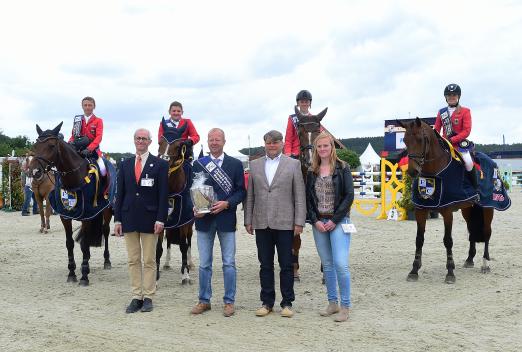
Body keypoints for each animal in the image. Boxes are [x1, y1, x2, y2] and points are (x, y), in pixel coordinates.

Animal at [33, 123, 114, 286]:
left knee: (105, 231)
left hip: (107, 210)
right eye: (36, 145)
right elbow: (70, 243)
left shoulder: (87, 215)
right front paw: (72, 273)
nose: (35, 171)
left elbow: (84, 244)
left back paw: (106, 261)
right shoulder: (65, 215)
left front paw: (84, 275)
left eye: (51, 146)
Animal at [156, 131, 195, 284]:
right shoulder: (161, 222)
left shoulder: (184, 222)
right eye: (160, 142)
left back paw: (190, 264)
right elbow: (159, 248)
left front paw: (185, 275)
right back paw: (166, 264)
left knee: (188, 243)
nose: (164, 162)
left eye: (179, 146)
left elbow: (184, 246)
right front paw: (156, 278)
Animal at [396, 118, 506, 284]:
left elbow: (448, 240)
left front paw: (450, 272)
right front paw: (414, 270)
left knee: (487, 232)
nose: (413, 171)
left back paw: (485, 264)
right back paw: (469, 259)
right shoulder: (420, 210)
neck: (434, 171)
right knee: (471, 231)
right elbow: (419, 239)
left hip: (488, 207)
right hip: (468, 209)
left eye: (420, 139)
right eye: (405, 140)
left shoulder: (447, 212)